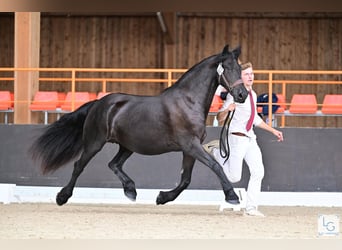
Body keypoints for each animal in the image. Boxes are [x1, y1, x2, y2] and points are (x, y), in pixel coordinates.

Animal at [30, 44, 248, 205]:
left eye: (240, 69)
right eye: (228, 68)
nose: (242, 95)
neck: (188, 101)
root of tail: (99, 103)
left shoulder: (189, 149)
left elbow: (185, 179)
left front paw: (162, 197)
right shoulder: (191, 145)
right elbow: (215, 166)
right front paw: (232, 196)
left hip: (127, 146)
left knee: (114, 164)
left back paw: (131, 190)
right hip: (94, 142)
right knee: (79, 166)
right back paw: (62, 197)